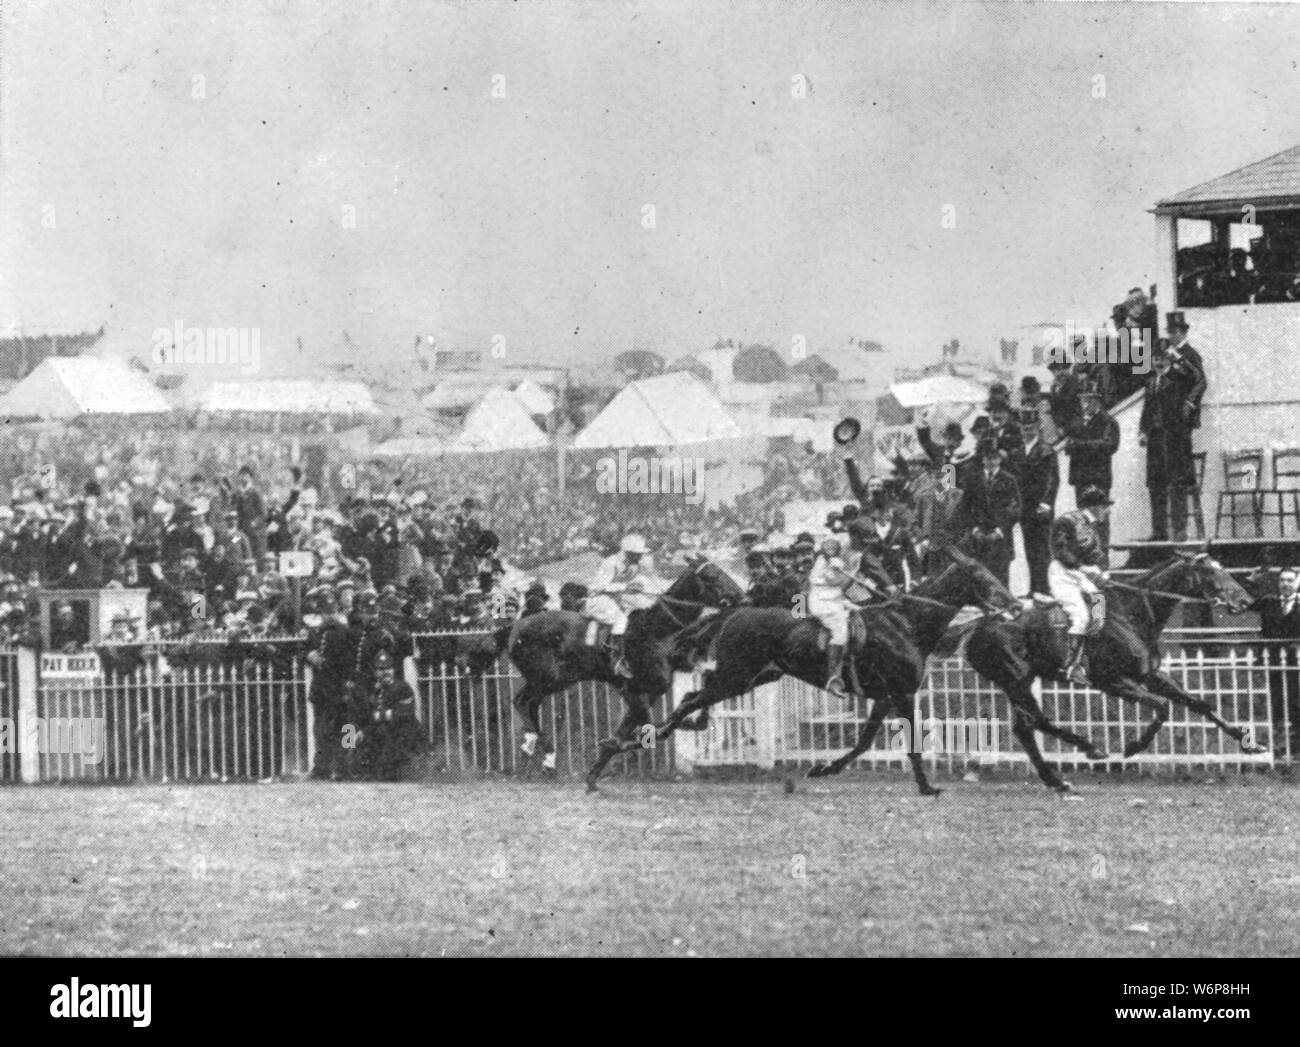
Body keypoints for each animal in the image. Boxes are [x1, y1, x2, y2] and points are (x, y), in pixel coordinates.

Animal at [501, 556, 743, 775]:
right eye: (712, 576)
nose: (740, 595)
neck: (657, 630)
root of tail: (515, 628)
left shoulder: (652, 689)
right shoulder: (632, 689)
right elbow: (655, 729)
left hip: (558, 679)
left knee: (530, 703)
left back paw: (537, 748)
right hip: (548, 677)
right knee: (522, 701)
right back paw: (541, 750)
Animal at [621, 546, 1024, 790]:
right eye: (982, 577)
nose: (1016, 606)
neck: (906, 624)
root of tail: (735, 611)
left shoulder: (885, 696)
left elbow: (864, 742)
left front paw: (824, 768)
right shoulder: (901, 692)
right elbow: (909, 744)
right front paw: (927, 787)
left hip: (753, 676)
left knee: (694, 694)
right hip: (735, 675)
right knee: (691, 698)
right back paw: (648, 734)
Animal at [967, 551, 1258, 790]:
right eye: (1210, 572)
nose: (1245, 600)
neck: (1131, 615)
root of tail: (976, 629)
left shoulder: (1150, 675)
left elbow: (1200, 704)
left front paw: (1249, 742)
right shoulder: (1113, 681)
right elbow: (1162, 706)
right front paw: (1132, 748)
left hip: (1019, 682)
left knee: (1024, 728)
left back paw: (1057, 779)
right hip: (1015, 679)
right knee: (1034, 722)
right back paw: (1088, 750)